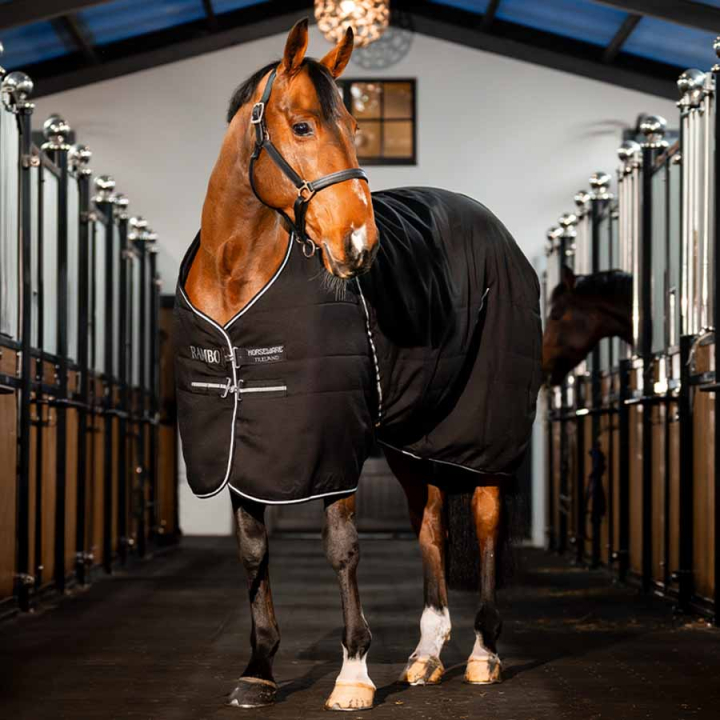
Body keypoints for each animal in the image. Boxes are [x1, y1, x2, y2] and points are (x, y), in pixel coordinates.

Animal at [175, 19, 541, 711]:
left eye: (355, 123)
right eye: (302, 127)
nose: (359, 244)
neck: (237, 277)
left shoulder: (329, 443)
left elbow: (342, 549)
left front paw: (352, 674)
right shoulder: (242, 449)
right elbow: (252, 551)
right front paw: (259, 669)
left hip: (485, 433)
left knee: (483, 522)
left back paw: (483, 654)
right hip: (412, 438)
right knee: (429, 525)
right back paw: (425, 657)